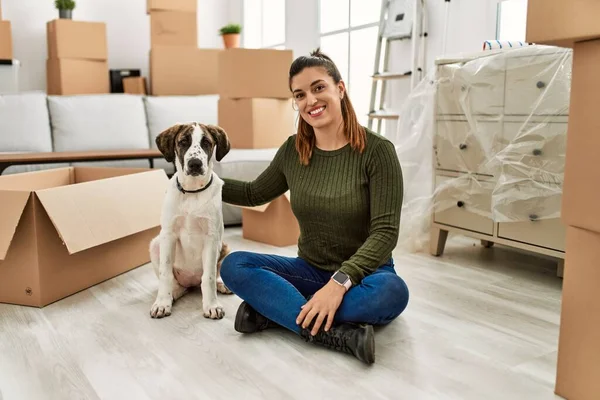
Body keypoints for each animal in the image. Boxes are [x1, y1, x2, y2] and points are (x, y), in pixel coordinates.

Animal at [149, 122, 233, 318]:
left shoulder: (212, 237)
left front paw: (212, 305)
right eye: (183, 142)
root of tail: (191, 282)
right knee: (176, 284)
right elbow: (165, 273)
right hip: (155, 244)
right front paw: (162, 302)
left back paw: (221, 284)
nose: (195, 164)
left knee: (211, 275)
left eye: (206, 143)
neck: (192, 192)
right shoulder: (168, 235)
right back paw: (173, 294)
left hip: (225, 246)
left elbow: (209, 276)